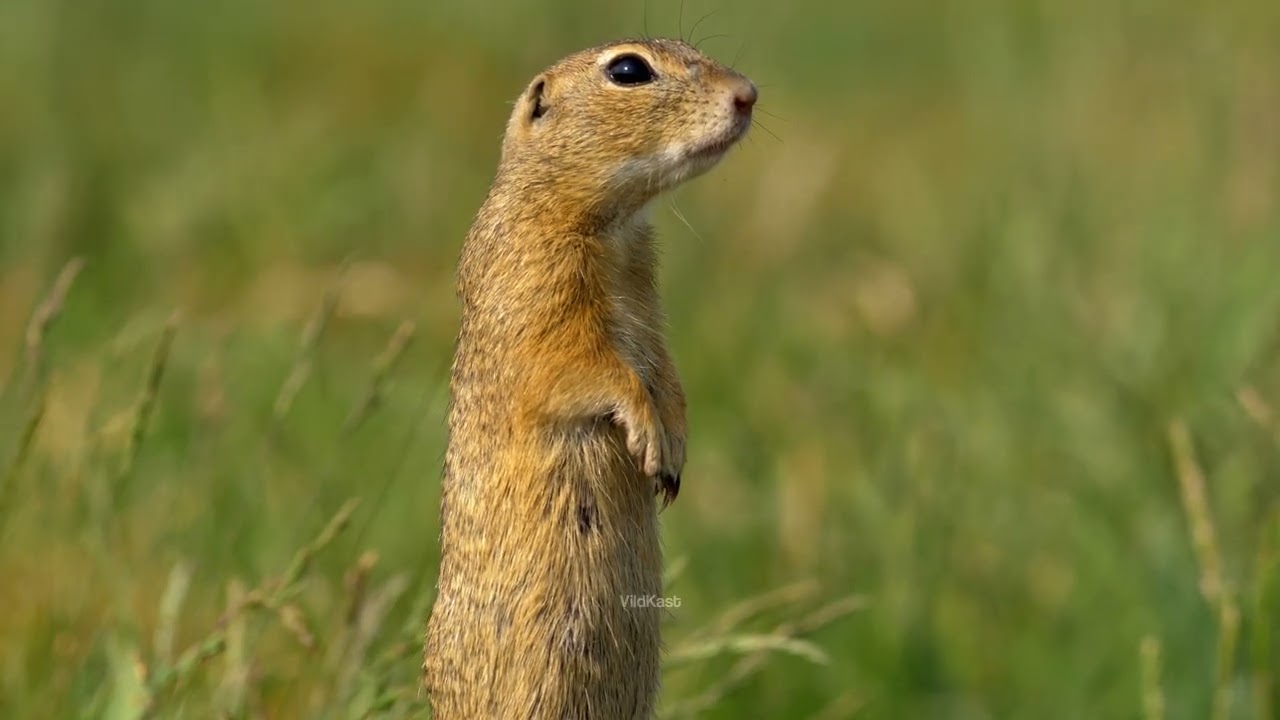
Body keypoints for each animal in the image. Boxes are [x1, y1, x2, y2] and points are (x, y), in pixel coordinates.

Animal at [422, 38, 757, 719]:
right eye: (628, 69)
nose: (748, 94)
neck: (615, 227)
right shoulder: (538, 294)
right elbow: (584, 370)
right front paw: (648, 435)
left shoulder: (649, 309)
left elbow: (665, 372)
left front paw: (674, 445)